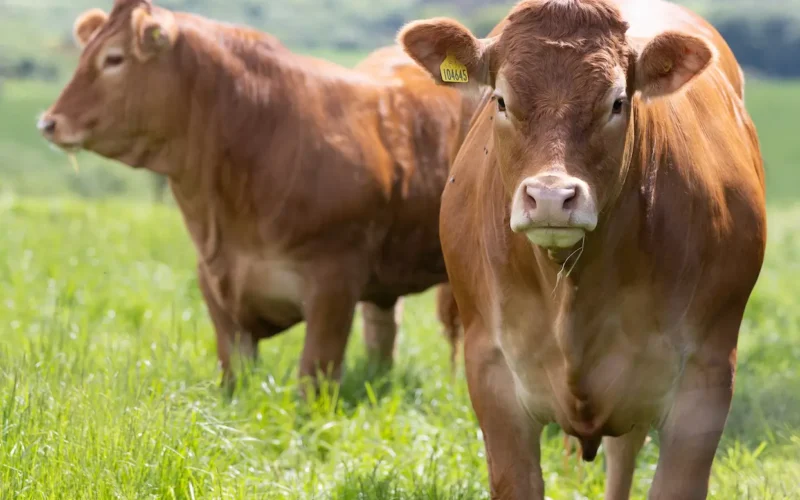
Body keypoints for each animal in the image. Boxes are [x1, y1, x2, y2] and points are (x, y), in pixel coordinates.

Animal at [39, 0, 476, 388]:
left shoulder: (334, 285)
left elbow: (312, 379)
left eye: (113, 59)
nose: (49, 122)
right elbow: (234, 379)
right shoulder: (216, 287)